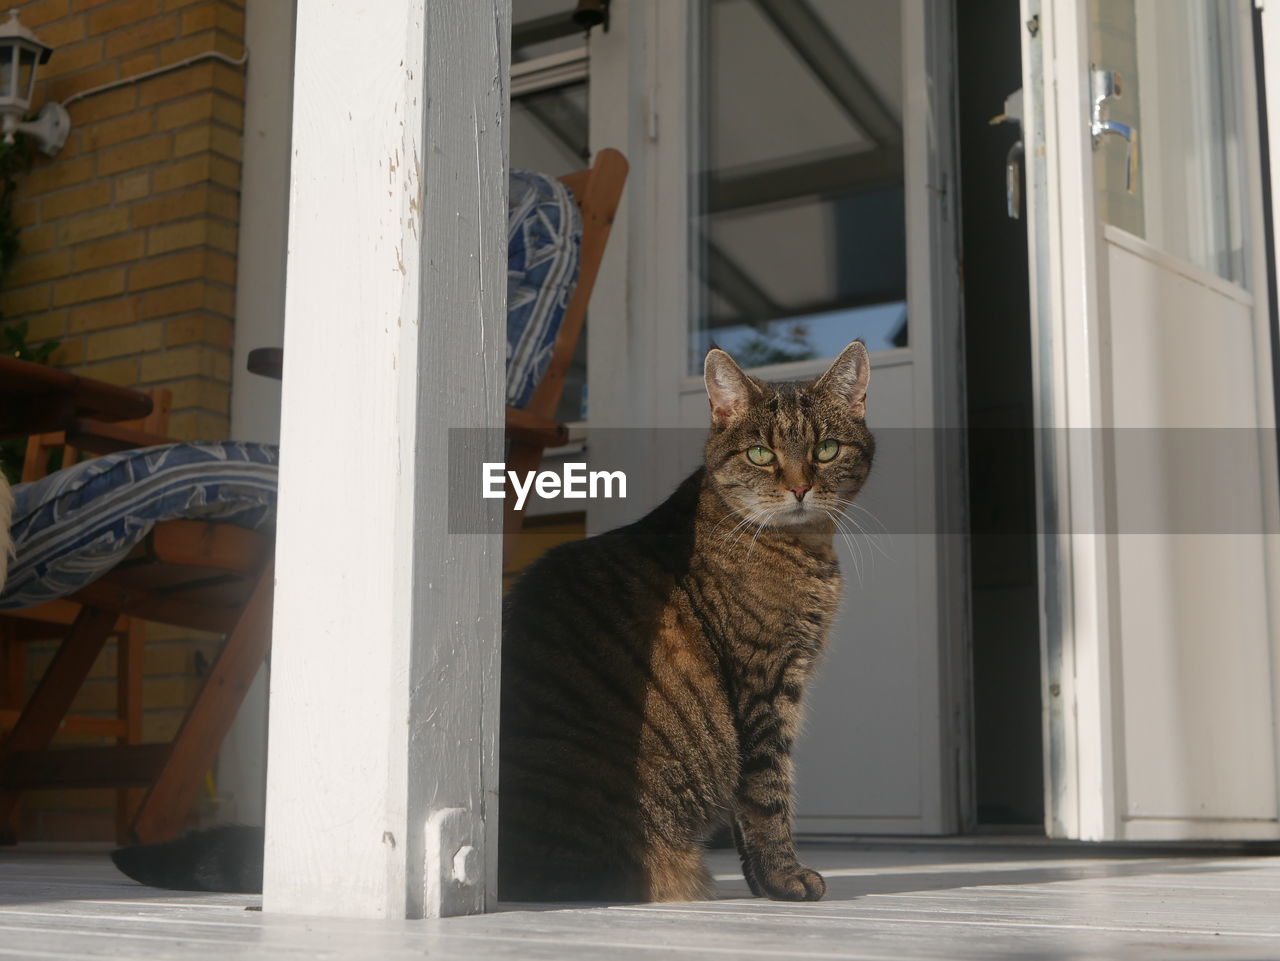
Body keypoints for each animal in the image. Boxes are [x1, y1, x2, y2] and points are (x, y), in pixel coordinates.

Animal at [112, 342, 870, 905]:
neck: (803, 547)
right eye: (763, 453)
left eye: (826, 449)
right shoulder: (764, 687)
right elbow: (768, 796)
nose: (800, 485)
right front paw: (783, 881)